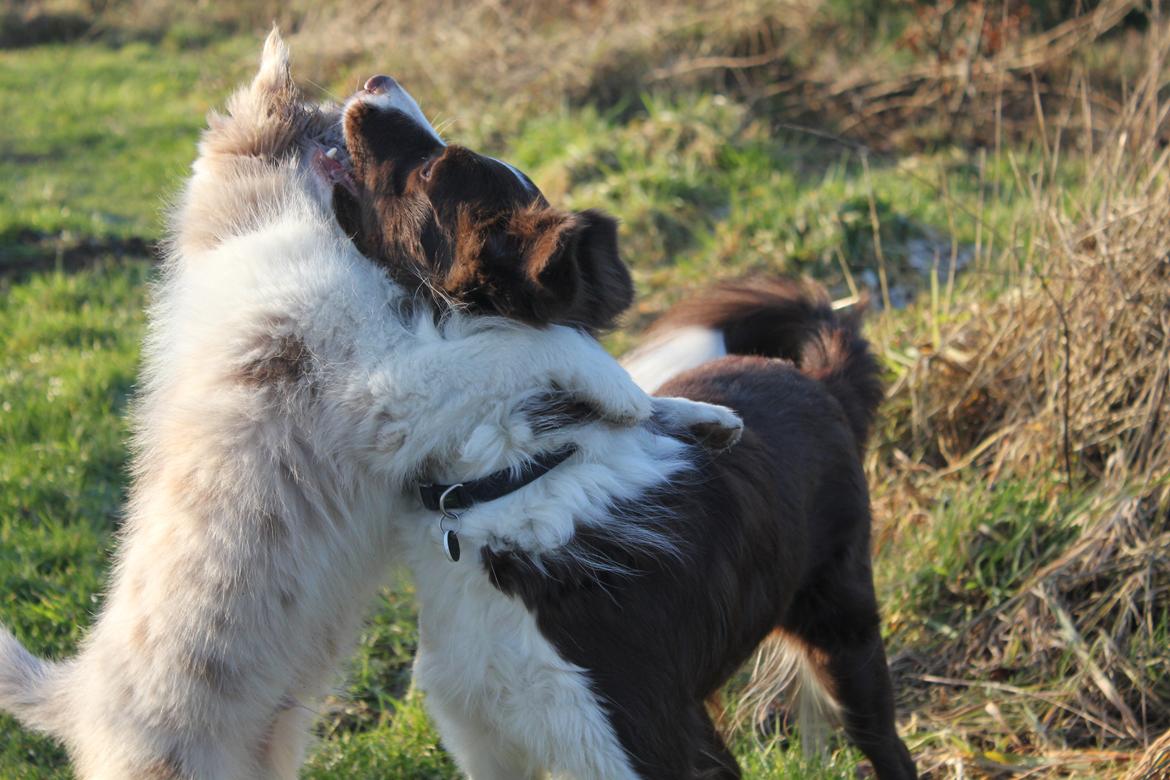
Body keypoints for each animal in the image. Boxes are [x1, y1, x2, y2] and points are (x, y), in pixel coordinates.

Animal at [341, 77, 917, 776]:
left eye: (432, 172)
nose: (376, 82)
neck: (507, 479)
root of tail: (815, 378)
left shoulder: (647, 740)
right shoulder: (484, 740)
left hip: (843, 632)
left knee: (888, 744)